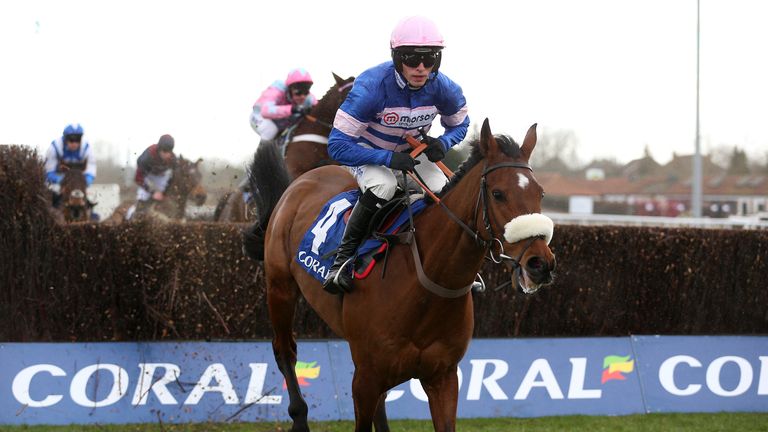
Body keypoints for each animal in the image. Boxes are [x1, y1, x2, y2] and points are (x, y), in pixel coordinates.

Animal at [243, 119, 556, 432]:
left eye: (540, 193)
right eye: (498, 193)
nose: (540, 263)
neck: (427, 287)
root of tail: (302, 180)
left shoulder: (442, 376)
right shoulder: (366, 377)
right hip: (280, 287)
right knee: (285, 350)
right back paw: (299, 416)